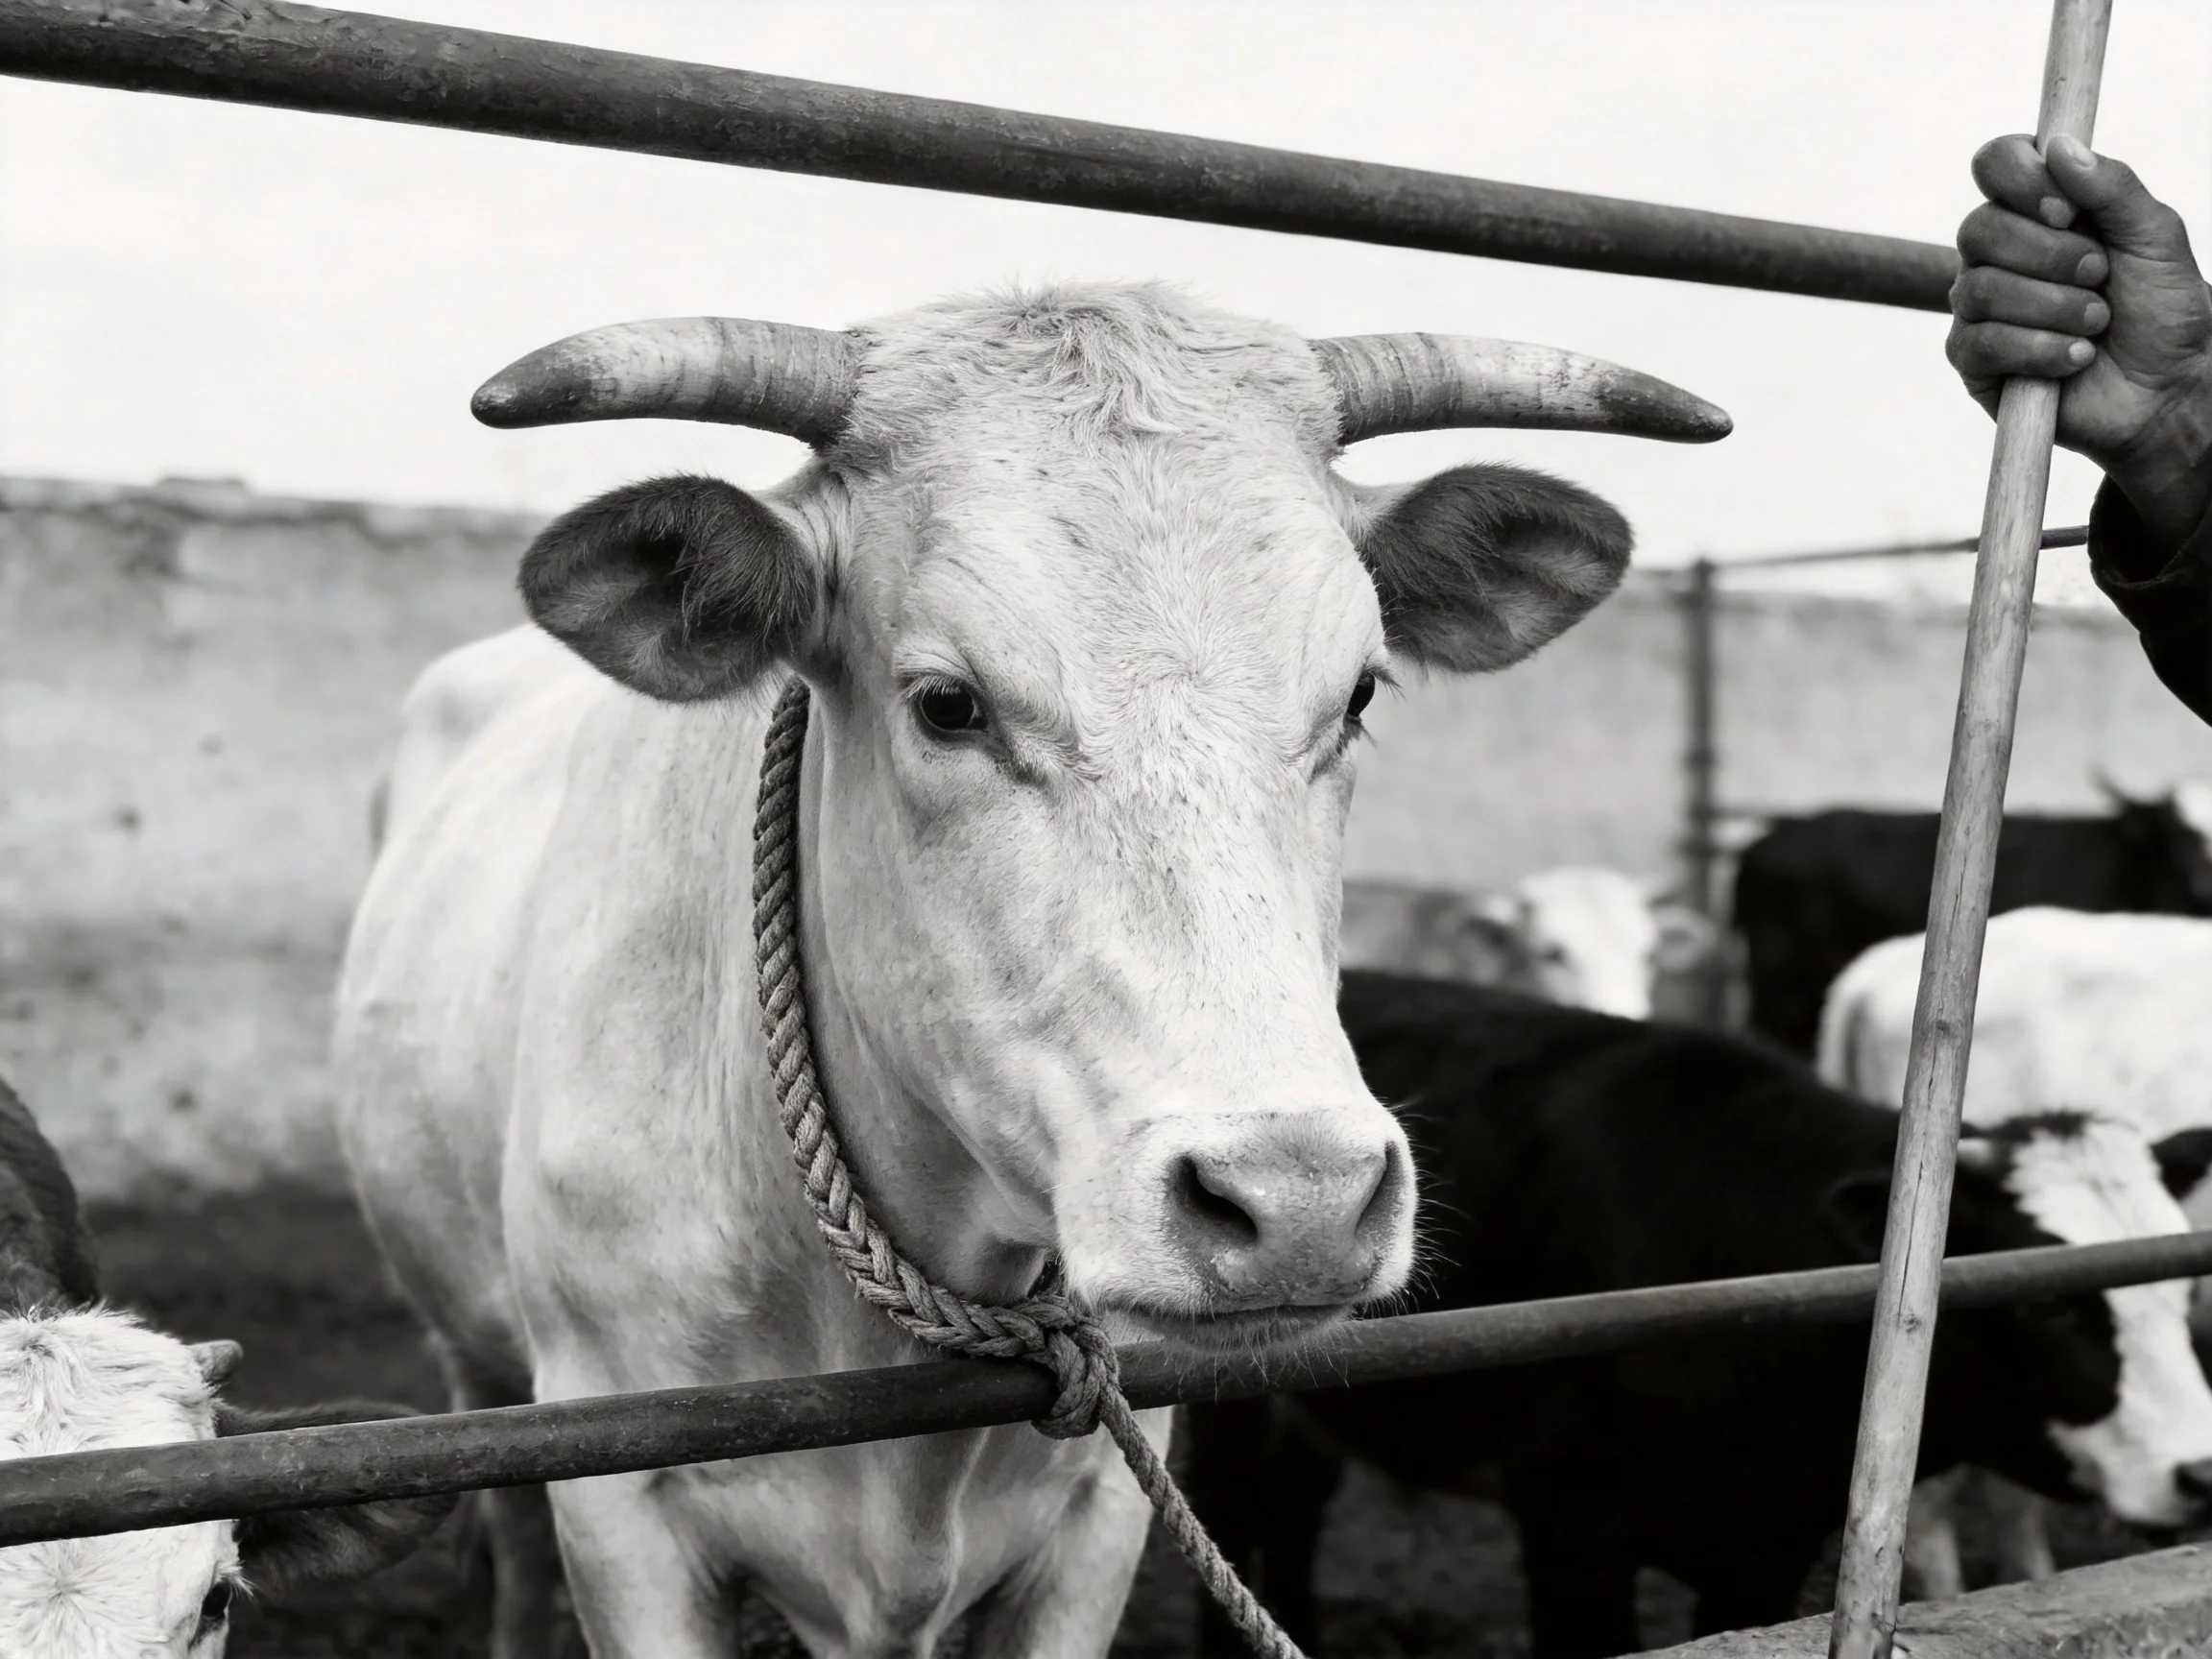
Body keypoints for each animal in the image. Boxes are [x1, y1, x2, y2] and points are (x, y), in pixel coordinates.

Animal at [332, 283, 1727, 1658]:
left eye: (1360, 696)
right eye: (949, 704)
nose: (1300, 1201)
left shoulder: (1105, 1501)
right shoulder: (625, 1513)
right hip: (486, 1377)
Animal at [1182, 973, 2212, 1659]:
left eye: (2172, 1286)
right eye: (2046, 1300)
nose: (2198, 1473)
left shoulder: (1765, 1549)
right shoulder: (1570, 1522)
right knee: (1231, 1510)